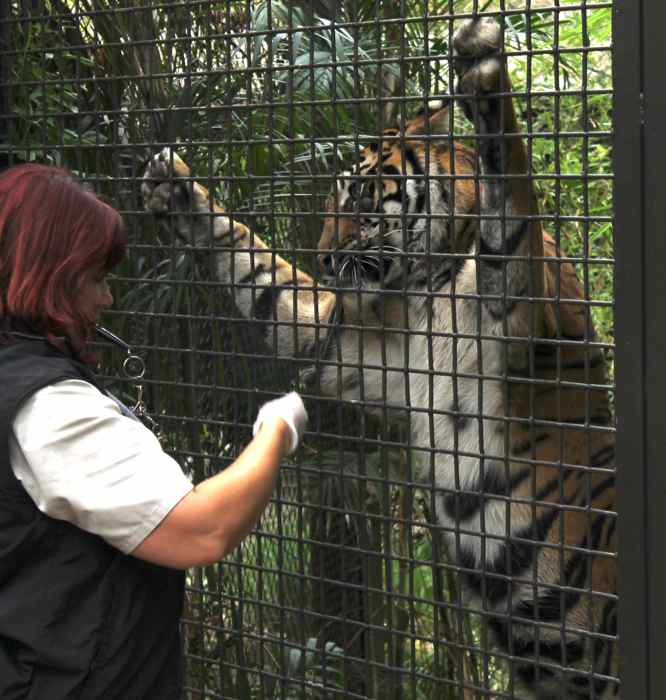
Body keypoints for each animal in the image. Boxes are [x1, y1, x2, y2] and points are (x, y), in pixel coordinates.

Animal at [141, 17, 617, 700]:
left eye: (362, 198)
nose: (322, 254)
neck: (423, 287)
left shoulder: (515, 302)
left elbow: (512, 199)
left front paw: (486, 76)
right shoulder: (352, 347)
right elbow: (260, 275)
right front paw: (176, 190)